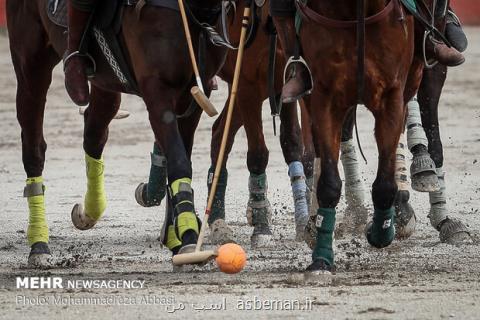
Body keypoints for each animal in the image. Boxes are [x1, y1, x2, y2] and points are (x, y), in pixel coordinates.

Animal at [8, 0, 227, 268]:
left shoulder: (195, 93)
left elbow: (179, 157)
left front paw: (175, 235)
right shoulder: (157, 90)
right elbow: (178, 161)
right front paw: (187, 237)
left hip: (105, 83)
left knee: (94, 133)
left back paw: (89, 211)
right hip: (30, 63)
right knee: (34, 147)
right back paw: (39, 245)